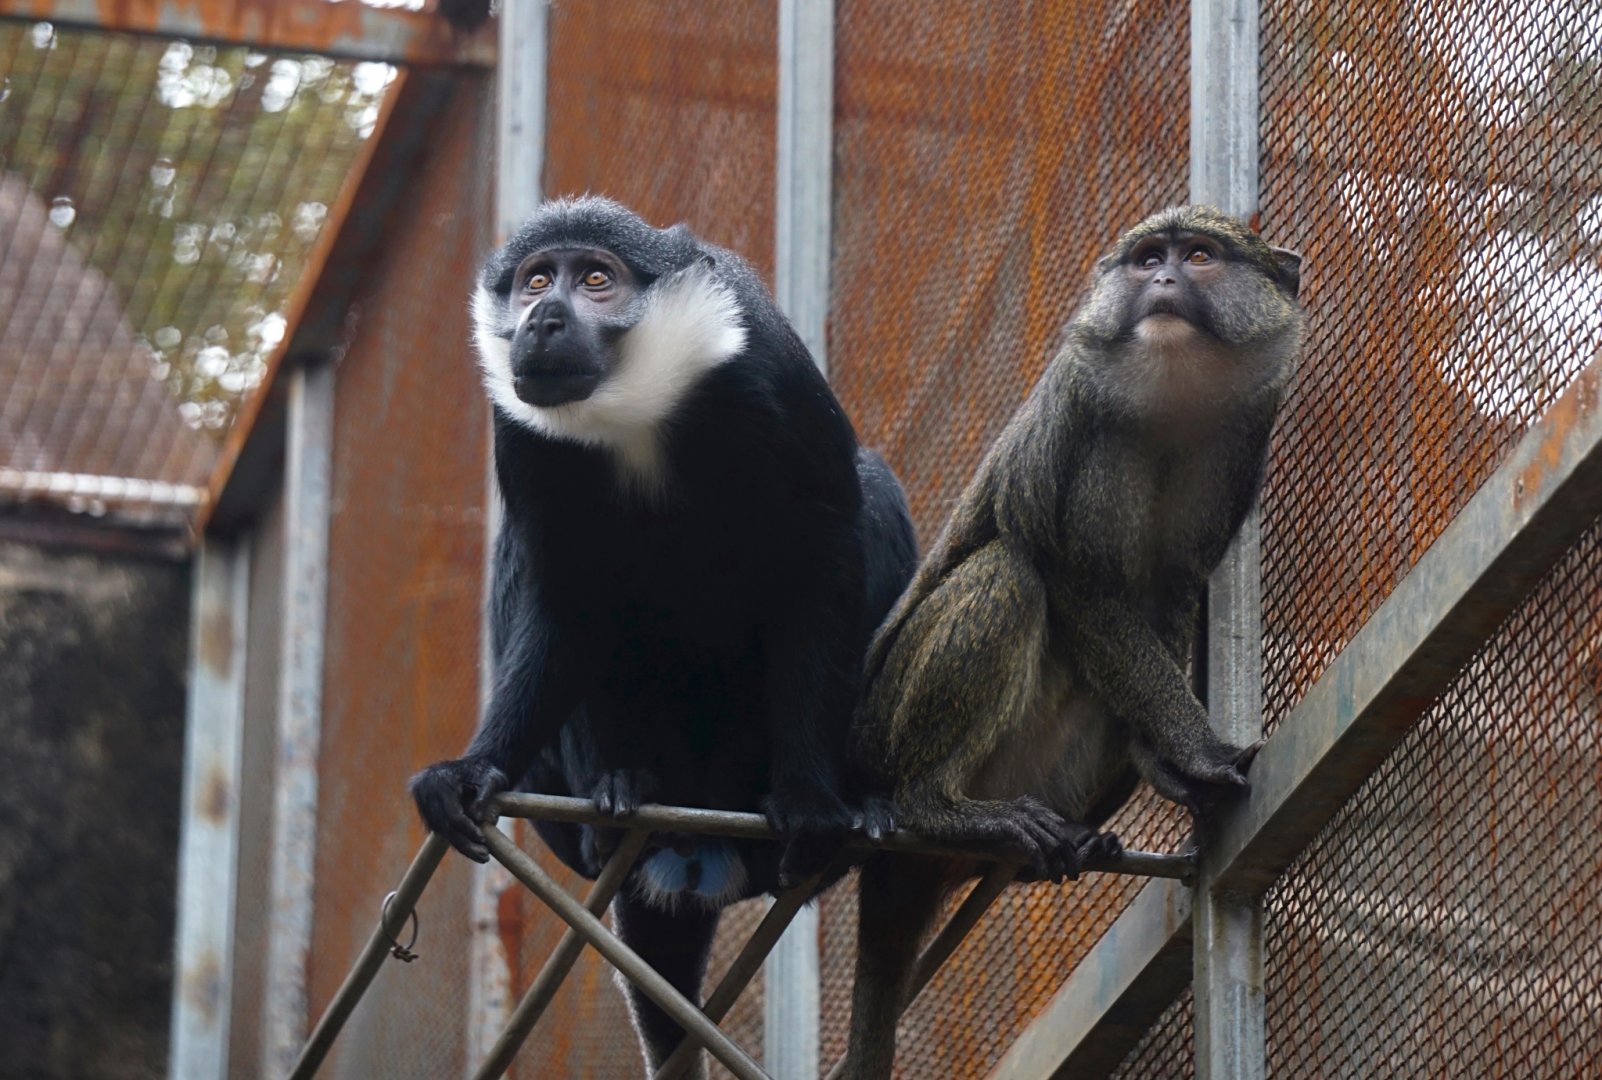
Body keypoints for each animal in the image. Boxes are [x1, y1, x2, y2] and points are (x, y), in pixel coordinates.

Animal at [408, 197, 918, 1078]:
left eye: (595, 280)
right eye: (536, 280)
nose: (542, 318)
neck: (635, 412)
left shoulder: (767, 370)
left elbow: (824, 552)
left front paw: (811, 802)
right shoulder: (525, 436)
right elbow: (565, 602)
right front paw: (471, 770)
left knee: (873, 485)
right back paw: (620, 789)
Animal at [841, 206, 1302, 1080]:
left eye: (1199, 256)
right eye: (1148, 259)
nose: (1164, 280)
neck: (1170, 403)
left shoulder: (1243, 442)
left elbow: (1168, 596)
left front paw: (1166, 757)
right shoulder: (1079, 419)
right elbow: (1077, 582)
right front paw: (1199, 752)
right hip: (880, 738)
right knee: (1009, 572)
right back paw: (939, 806)